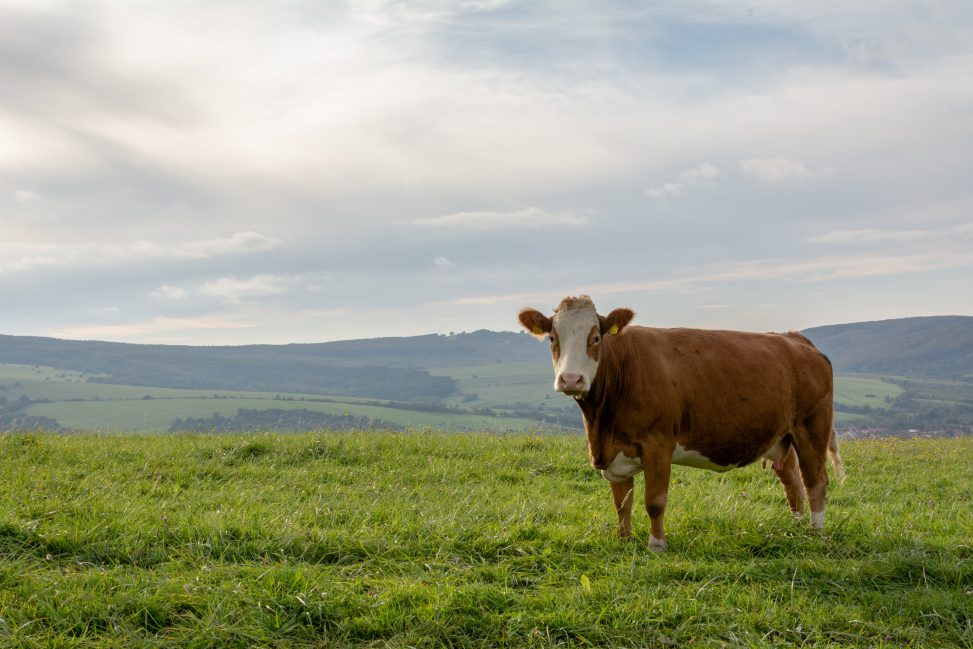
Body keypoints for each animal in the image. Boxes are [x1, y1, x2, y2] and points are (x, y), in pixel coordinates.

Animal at [516, 294, 844, 552]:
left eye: (596, 338)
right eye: (552, 338)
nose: (571, 379)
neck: (601, 422)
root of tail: (794, 337)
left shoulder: (658, 444)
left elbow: (654, 501)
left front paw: (657, 545)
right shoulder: (613, 451)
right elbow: (622, 503)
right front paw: (624, 541)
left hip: (811, 426)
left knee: (814, 481)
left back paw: (816, 533)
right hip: (781, 436)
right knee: (792, 483)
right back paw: (796, 529)